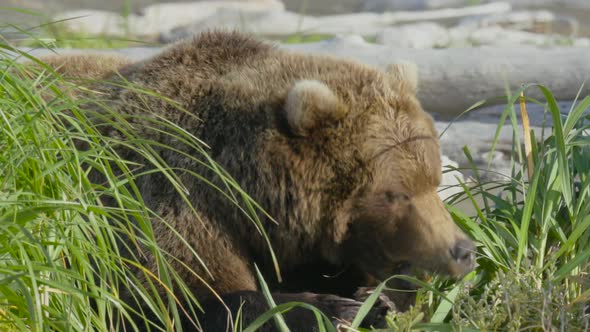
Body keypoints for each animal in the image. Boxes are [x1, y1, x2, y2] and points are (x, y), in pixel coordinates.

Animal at [38, 30, 476, 330]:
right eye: (396, 193)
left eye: (434, 180)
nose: (463, 250)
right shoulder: (168, 198)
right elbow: (183, 297)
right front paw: (334, 307)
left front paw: (378, 299)